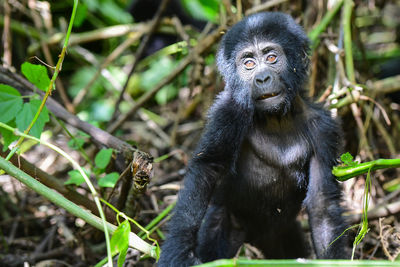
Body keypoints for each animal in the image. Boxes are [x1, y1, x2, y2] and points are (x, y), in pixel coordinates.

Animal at [158, 11, 348, 266]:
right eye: (248, 63)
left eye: (271, 57)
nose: (262, 78)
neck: (276, 118)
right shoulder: (229, 109)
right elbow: (208, 168)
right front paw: (178, 251)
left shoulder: (324, 130)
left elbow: (322, 205)